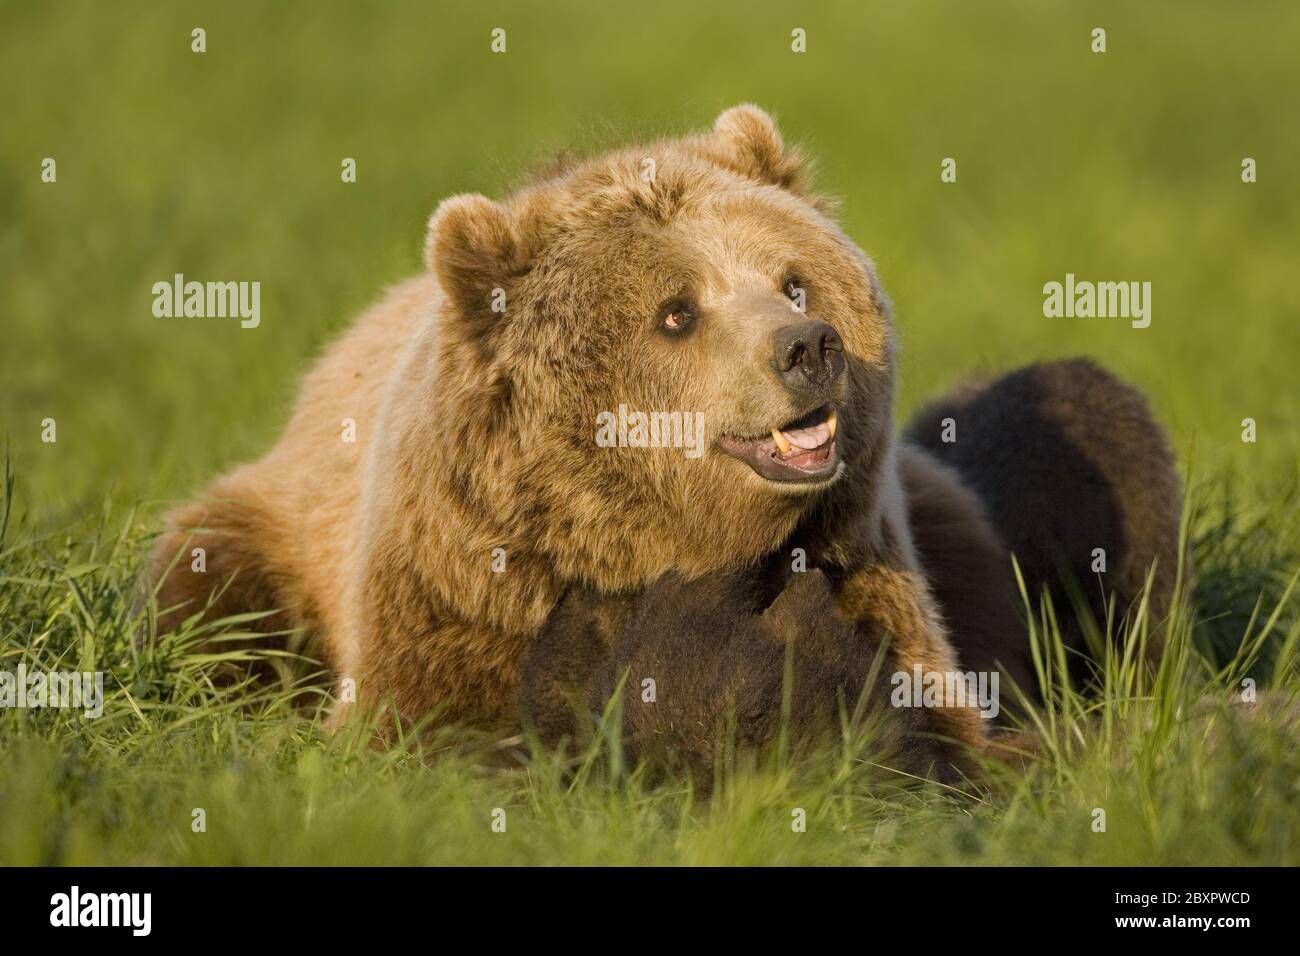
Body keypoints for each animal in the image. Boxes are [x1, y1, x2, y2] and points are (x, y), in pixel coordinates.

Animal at [142, 105, 1000, 751]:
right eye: (677, 313)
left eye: (794, 282)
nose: (809, 348)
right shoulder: (462, 584)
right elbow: (420, 721)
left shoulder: (862, 564)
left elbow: (931, 720)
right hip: (280, 525)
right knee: (204, 590)